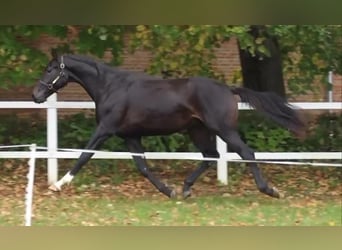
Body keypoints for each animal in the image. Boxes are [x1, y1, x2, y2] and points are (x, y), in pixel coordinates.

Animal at [31, 53, 304, 199]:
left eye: (50, 69)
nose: (36, 95)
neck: (110, 87)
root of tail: (228, 89)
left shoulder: (105, 130)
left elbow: (83, 157)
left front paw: (58, 185)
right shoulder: (130, 136)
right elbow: (143, 167)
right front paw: (168, 191)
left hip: (223, 130)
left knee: (245, 152)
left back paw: (270, 190)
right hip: (198, 130)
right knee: (211, 156)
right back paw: (184, 189)